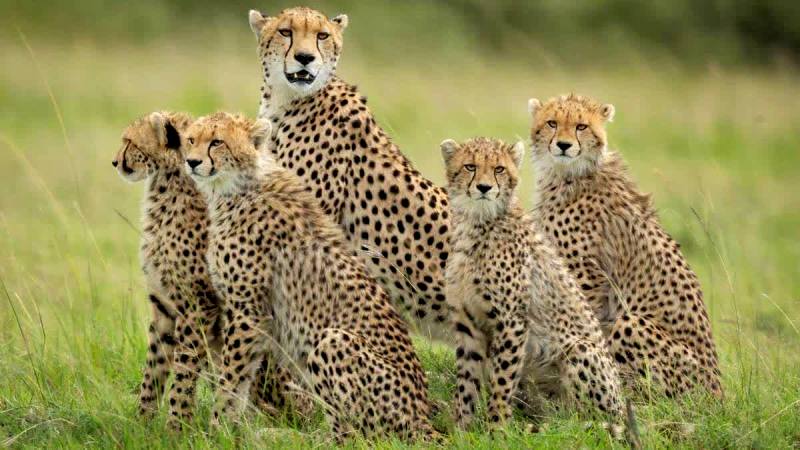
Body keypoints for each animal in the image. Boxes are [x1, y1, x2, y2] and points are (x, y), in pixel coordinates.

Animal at [112, 112, 303, 429]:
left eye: (129, 142)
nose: (115, 162)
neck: (168, 185)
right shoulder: (164, 306)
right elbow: (154, 368)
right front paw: (143, 424)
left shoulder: (198, 305)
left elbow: (184, 369)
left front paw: (177, 426)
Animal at [181, 111, 434, 440]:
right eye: (190, 139)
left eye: (217, 142)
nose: (192, 162)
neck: (236, 187)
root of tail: (422, 416)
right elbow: (243, 379)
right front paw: (229, 429)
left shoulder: (248, 311)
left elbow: (231, 379)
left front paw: (217, 429)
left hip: (332, 341)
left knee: (352, 437)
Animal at [442, 137, 623, 429]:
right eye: (470, 166)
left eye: (499, 169)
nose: (484, 187)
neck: (477, 222)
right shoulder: (468, 325)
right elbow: (466, 384)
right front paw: (462, 429)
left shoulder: (511, 321)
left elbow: (501, 382)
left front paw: (497, 429)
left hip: (580, 349)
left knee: (592, 421)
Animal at [528, 93, 723, 398]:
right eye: (552, 123)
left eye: (581, 126)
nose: (563, 145)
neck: (569, 173)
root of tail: (719, 393)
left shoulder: (586, 277)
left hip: (631, 323)